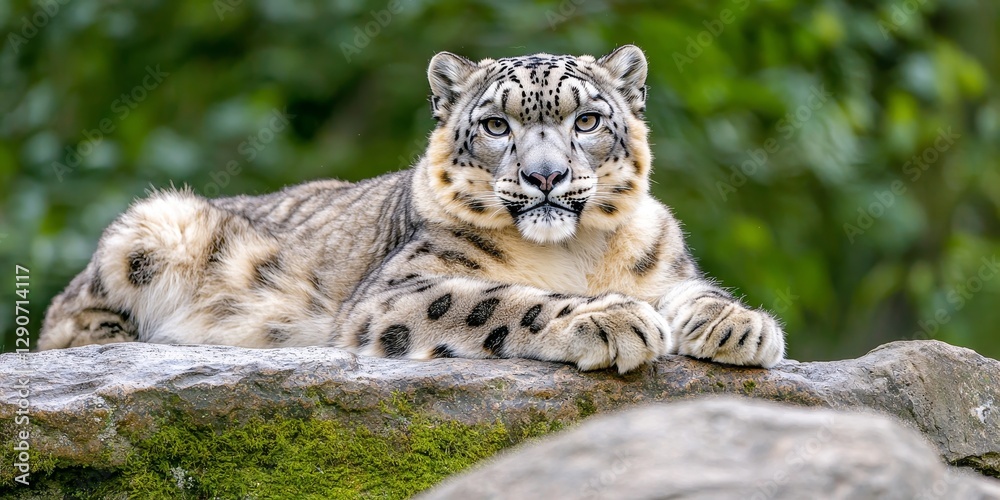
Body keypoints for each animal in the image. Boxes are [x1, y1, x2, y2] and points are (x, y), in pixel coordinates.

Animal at [39, 45, 785, 372]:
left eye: (587, 120)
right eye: (496, 126)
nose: (545, 176)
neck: (575, 252)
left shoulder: (667, 268)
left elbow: (695, 290)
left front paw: (741, 326)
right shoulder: (400, 290)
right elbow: (503, 300)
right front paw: (611, 321)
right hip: (152, 224)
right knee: (62, 322)